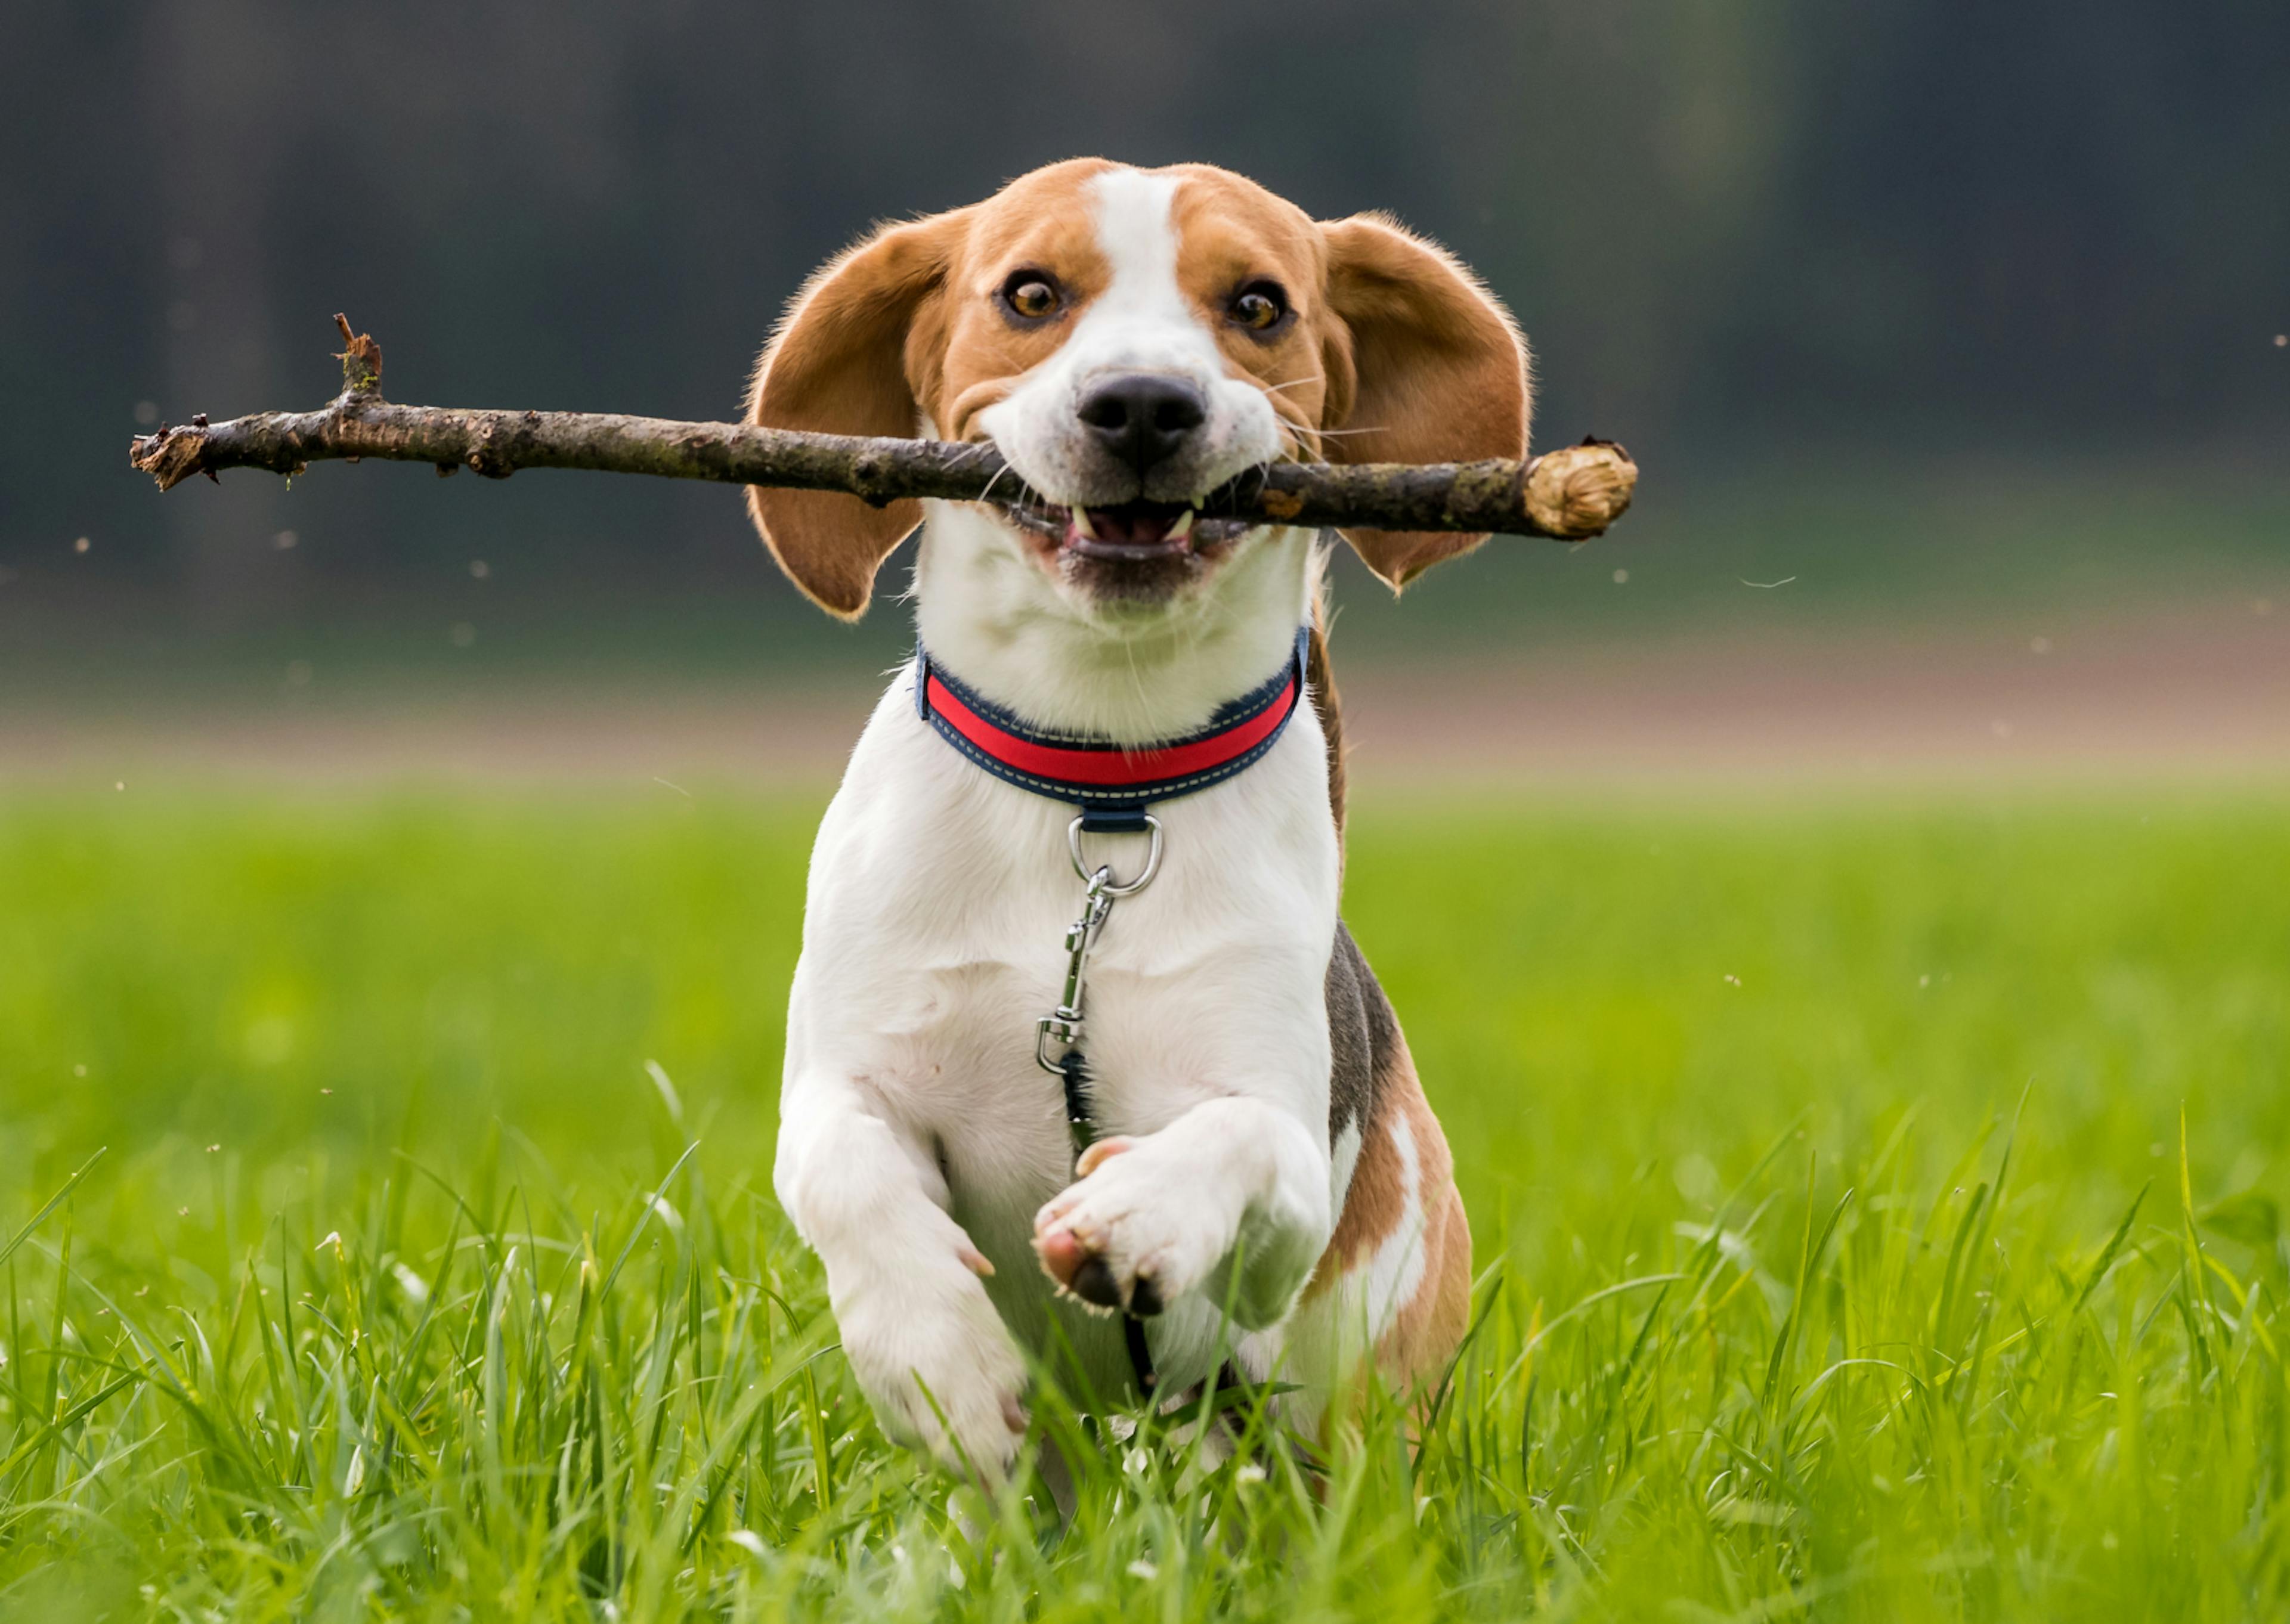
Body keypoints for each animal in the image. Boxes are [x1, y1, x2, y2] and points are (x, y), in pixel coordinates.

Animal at [751, 158, 1530, 1475]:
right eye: (1030, 293)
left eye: (1259, 305)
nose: (1143, 405)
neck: (1100, 797)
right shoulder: (842, 1078)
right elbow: (847, 1167)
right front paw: (940, 1363)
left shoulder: (1282, 1176)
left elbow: (1242, 1142)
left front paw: (1135, 1211)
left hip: (1347, 1407)